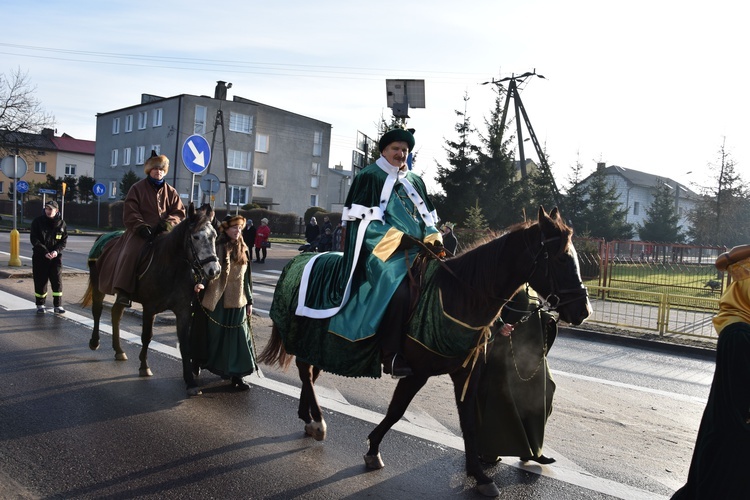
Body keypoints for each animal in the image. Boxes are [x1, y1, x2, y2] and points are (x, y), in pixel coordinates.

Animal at [84, 202, 223, 394]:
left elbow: (185, 344)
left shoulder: (184, 311)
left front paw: (190, 382)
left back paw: (118, 350)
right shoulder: (149, 308)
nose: (214, 270)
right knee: (97, 311)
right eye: (196, 237)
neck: (171, 267)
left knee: (116, 314)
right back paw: (94, 341)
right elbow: (146, 336)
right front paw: (144, 366)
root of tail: (102, 238)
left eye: (214, 236)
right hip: (99, 285)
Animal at [258, 207, 592, 496]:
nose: (583, 310)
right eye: (562, 259)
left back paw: (308, 416)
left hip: (321, 342)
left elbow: (468, 421)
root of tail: (303, 260)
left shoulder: (465, 373)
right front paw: (373, 449)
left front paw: (479, 475)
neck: (459, 294)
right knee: (306, 371)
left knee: (310, 373)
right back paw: (317, 421)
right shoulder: (417, 372)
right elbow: (396, 411)